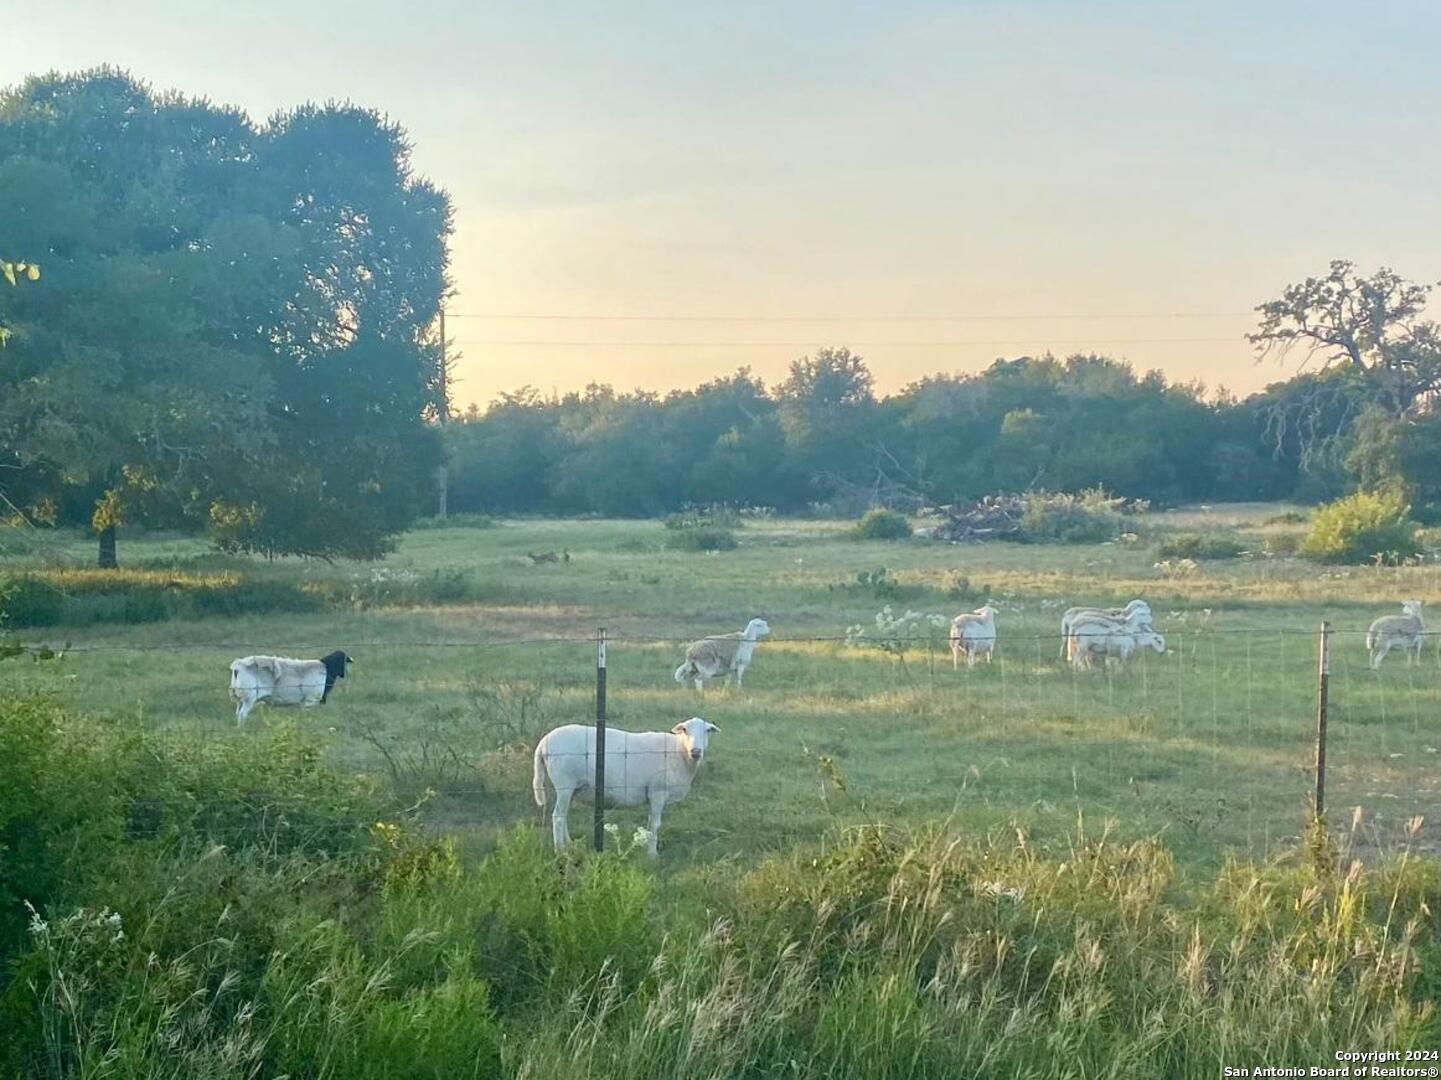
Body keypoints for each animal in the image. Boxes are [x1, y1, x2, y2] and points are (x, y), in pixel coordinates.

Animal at [530, 712, 720, 853]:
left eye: (707, 731)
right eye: (685, 730)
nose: (696, 751)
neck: (678, 752)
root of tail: (543, 742)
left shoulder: (652, 794)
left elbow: (649, 824)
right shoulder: (658, 791)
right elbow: (655, 825)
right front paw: (652, 856)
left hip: (571, 788)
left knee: (563, 815)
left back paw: (569, 844)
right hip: (564, 784)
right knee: (558, 817)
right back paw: (560, 850)